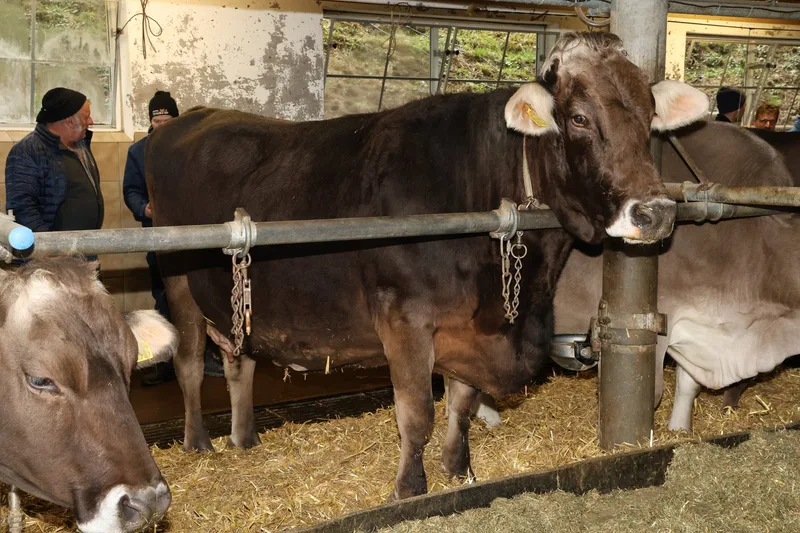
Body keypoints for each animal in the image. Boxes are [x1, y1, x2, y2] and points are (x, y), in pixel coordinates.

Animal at [146, 32, 708, 499]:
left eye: (649, 117)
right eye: (579, 118)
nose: (655, 212)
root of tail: (197, 115)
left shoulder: (468, 329)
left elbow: (461, 405)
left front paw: (460, 472)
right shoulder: (405, 318)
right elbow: (418, 414)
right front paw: (410, 489)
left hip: (231, 299)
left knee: (238, 360)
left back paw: (244, 439)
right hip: (176, 278)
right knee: (189, 364)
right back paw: (199, 444)